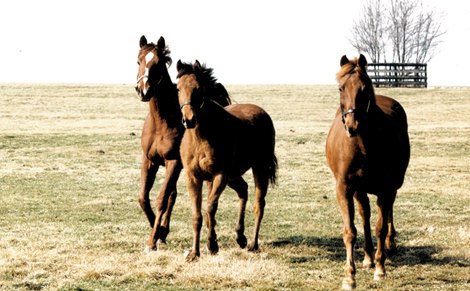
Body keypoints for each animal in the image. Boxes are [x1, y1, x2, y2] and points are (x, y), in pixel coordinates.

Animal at [134, 35, 231, 252]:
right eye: (138, 61)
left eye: (159, 63)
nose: (144, 90)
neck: (161, 120)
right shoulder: (149, 160)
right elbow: (144, 198)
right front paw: (160, 231)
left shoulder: (173, 162)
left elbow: (161, 199)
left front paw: (153, 239)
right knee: (174, 195)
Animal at [176, 60, 280, 262]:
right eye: (177, 89)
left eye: (198, 89)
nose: (188, 120)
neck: (202, 136)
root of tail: (262, 113)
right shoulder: (194, 178)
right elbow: (198, 216)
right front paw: (194, 252)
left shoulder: (220, 175)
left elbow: (210, 208)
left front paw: (212, 245)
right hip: (233, 176)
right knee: (243, 191)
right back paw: (240, 236)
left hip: (259, 168)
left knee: (259, 204)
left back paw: (253, 244)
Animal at [324, 54, 410, 290]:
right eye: (341, 88)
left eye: (364, 89)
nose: (352, 125)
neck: (363, 145)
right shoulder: (345, 188)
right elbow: (351, 231)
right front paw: (349, 276)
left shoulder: (387, 188)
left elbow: (381, 226)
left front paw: (381, 269)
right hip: (359, 190)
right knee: (365, 215)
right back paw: (368, 257)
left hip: (392, 186)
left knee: (388, 214)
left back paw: (389, 245)